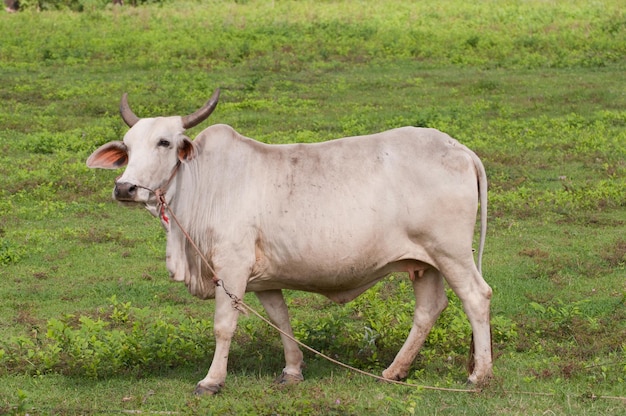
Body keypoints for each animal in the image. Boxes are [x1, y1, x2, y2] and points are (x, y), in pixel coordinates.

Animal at [85, 89, 490, 394]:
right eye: (128, 146)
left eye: (164, 142)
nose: (125, 188)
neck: (204, 181)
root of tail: (460, 149)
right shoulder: (263, 276)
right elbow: (280, 318)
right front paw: (293, 370)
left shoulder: (232, 265)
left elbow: (223, 324)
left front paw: (212, 381)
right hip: (424, 262)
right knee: (428, 309)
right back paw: (394, 371)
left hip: (451, 253)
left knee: (476, 298)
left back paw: (479, 375)